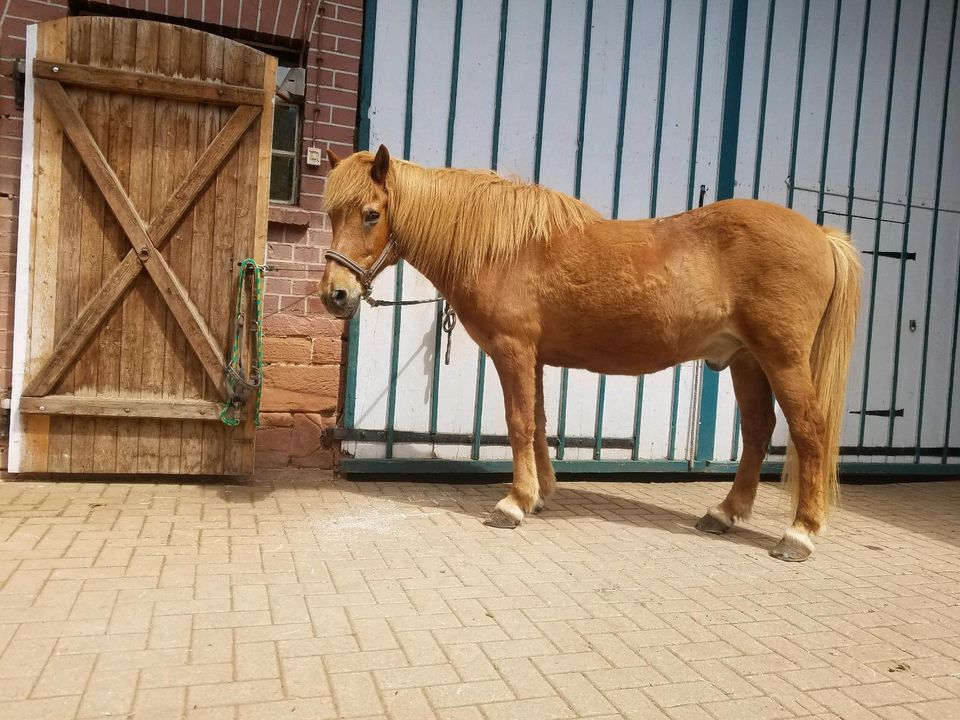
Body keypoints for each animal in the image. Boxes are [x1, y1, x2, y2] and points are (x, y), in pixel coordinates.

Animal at [318, 146, 860, 564]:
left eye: (371, 214)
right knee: (758, 430)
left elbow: (518, 422)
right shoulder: (534, 357)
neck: (503, 248)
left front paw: (514, 503)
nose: (335, 295)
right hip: (747, 360)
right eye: (330, 215)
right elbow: (538, 422)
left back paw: (799, 534)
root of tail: (821, 236)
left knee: (809, 431)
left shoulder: (513, 350)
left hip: (783, 359)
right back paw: (723, 514)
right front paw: (541, 494)